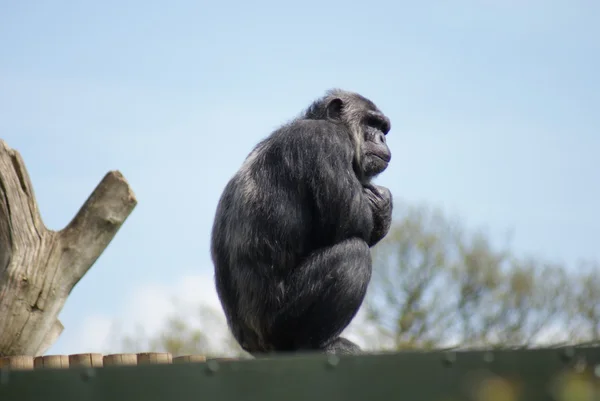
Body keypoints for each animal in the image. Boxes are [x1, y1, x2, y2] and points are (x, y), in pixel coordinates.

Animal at [211, 89, 394, 354]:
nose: (381, 137)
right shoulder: (325, 142)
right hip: (280, 323)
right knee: (354, 254)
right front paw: (382, 201)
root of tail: (256, 346)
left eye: (383, 128)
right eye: (371, 122)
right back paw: (320, 345)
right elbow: (354, 221)